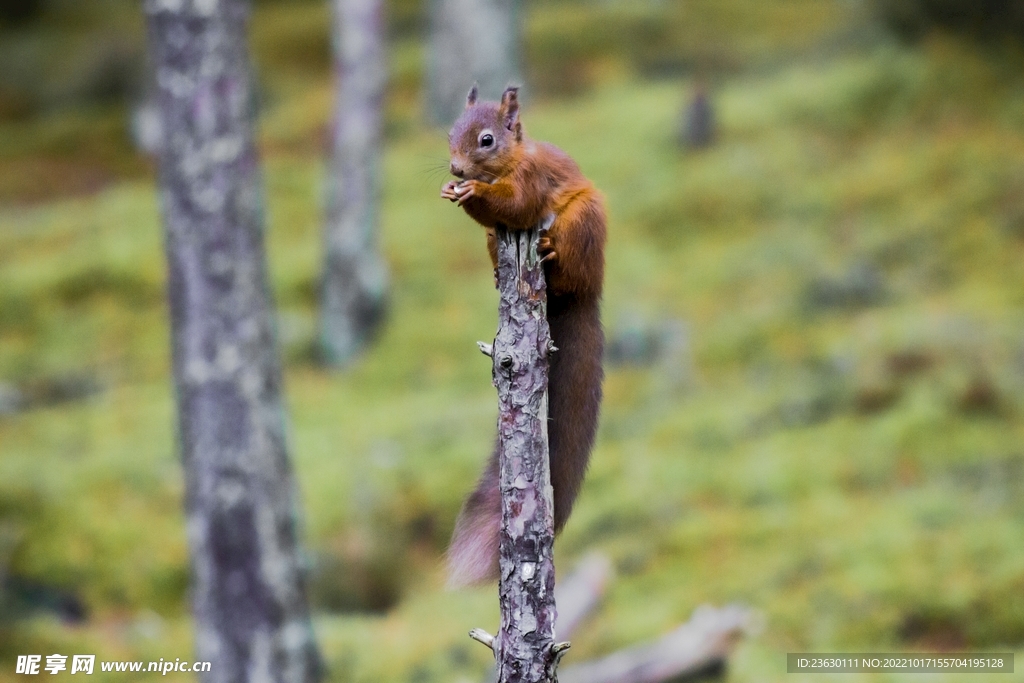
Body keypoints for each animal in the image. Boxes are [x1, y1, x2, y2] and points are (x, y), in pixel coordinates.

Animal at [438, 87, 598, 589]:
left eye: (486, 140)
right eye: (450, 134)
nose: (456, 170)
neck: (506, 165)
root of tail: (587, 293)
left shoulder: (531, 182)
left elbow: (518, 205)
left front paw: (472, 193)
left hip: (583, 223)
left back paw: (551, 253)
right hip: (495, 241)